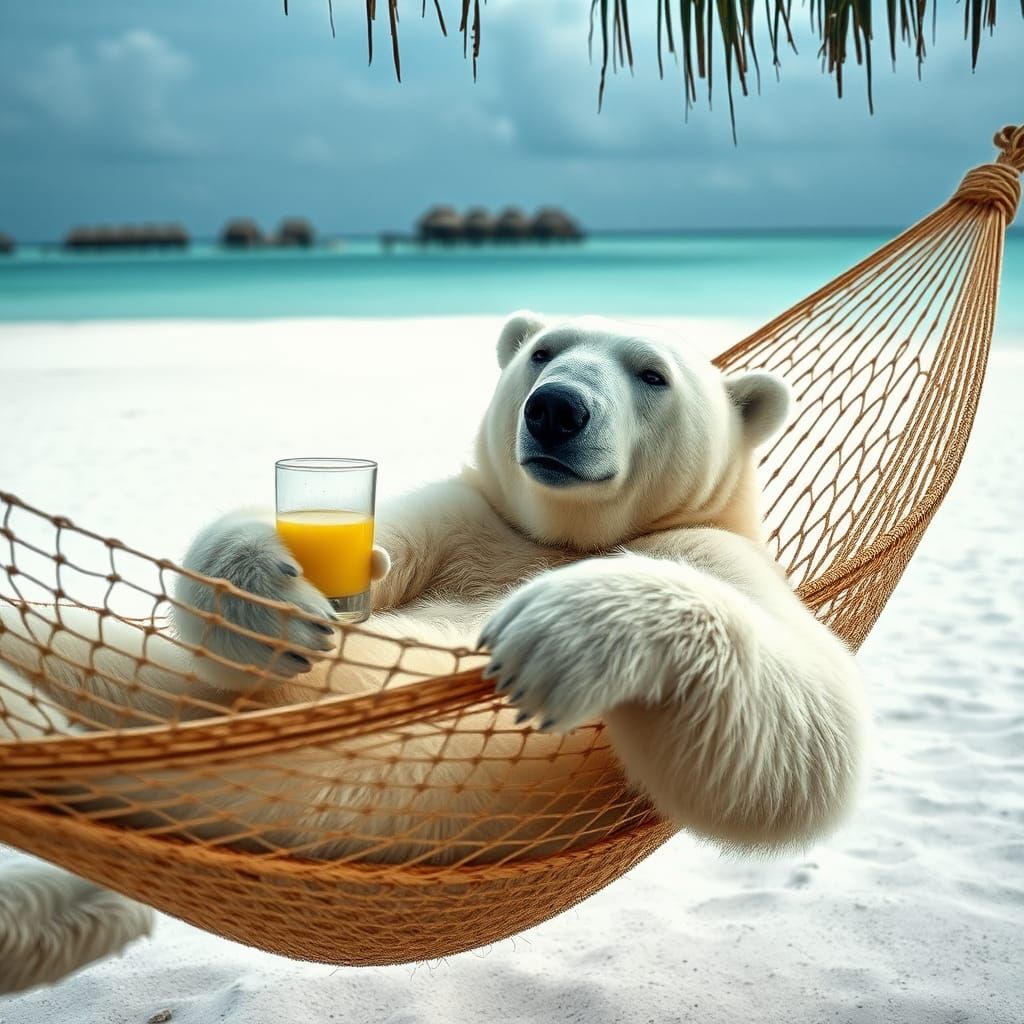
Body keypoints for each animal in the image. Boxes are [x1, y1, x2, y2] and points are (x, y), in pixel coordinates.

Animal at [0, 312, 868, 991]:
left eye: (652, 373)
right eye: (543, 351)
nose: (556, 410)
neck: (559, 537)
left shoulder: (709, 547)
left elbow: (809, 740)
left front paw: (555, 630)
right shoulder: (467, 521)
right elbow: (355, 555)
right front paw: (272, 602)